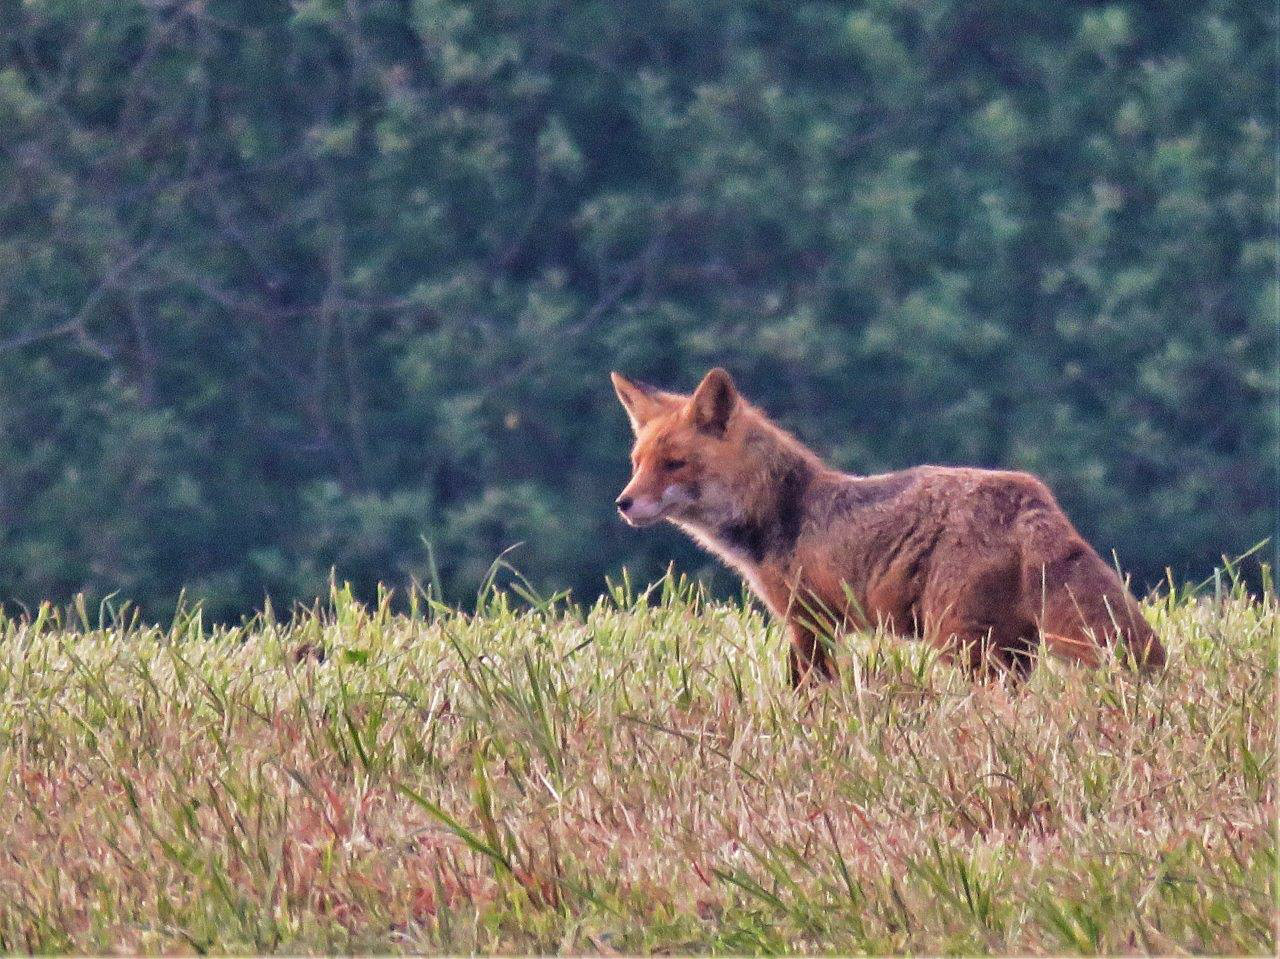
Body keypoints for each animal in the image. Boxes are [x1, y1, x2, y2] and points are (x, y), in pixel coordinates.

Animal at [614, 363, 1167, 686]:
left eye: (675, 464)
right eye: (637, 462)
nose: (623, 504)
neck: (788, 511)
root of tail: (1031, 495)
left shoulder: (807, 620)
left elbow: (807, 691)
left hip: (960, 641)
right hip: (1010, 646)